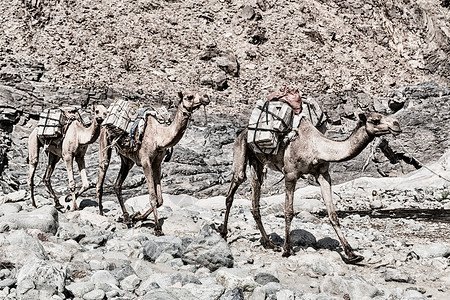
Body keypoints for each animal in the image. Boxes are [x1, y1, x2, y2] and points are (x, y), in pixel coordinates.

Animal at [96, 90, 209, 236]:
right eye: (189, 96)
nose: (206, 97)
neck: (159, 137)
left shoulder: (157, 163)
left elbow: (160, 199)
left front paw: (137, 216)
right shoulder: (146, 161)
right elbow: (153, 197)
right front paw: (157, 229)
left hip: (127, 160)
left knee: (117, 185)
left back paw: (127, 218)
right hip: (104, 142)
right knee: (102, 173)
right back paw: (100, 213)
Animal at [221, 110, 400, 262]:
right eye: (375, 120)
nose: (396, 124)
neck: (318, 148)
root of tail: (243, 131)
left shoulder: (323, 174)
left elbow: (333, 214)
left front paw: (352, 254)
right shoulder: (290, 174)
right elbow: (288, 211)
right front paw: (287, 249)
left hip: (257, 162)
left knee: (255, 200)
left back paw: (269, 243)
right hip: (241, 149)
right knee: (234, 186)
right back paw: (223, 233)